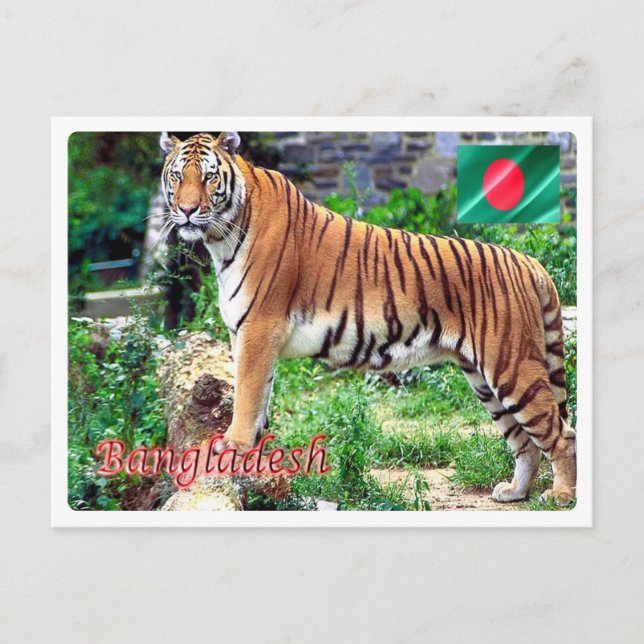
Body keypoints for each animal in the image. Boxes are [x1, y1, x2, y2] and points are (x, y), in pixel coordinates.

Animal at [159, 131, 577, 505]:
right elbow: (259, 395)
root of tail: (527, 261)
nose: (187, 210)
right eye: (177, 176)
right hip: (483, 379)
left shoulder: (259, 328)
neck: (221, 239)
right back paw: (515, 492)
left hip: (511, 366)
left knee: (561, 433)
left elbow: (246, 395)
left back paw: (560, 495)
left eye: (209, 176)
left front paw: (234, 445)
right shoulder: (248, 335)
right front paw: (256, 452)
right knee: (525, 442)